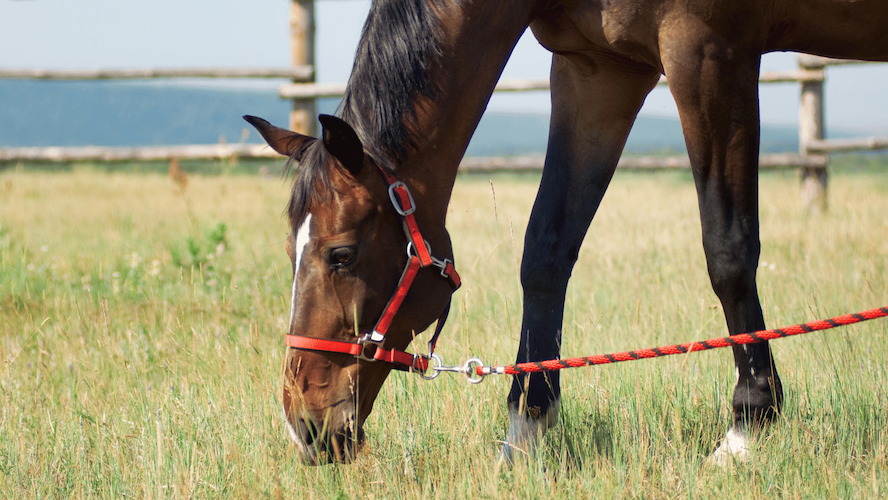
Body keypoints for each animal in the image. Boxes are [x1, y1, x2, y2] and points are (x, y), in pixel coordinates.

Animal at [245, 0, 888, 464]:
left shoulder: (708, 51)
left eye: (342, 255)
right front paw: (525, 429)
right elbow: (546, 250)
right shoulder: (596, 69)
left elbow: (728, 248)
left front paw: (746, 428)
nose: (303, 425)